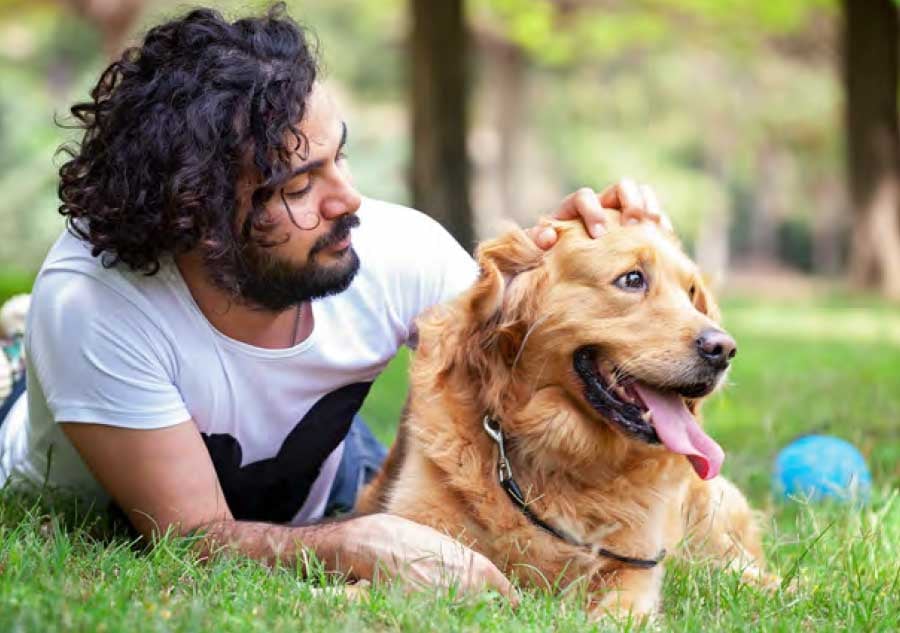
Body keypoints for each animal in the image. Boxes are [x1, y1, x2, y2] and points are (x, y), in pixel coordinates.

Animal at [356, 212, 776, 616]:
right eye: (632, 279)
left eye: (691, 293)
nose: (724, 349)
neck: (563, 455)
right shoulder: (418, 526)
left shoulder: (635, 566)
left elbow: (620, 611)